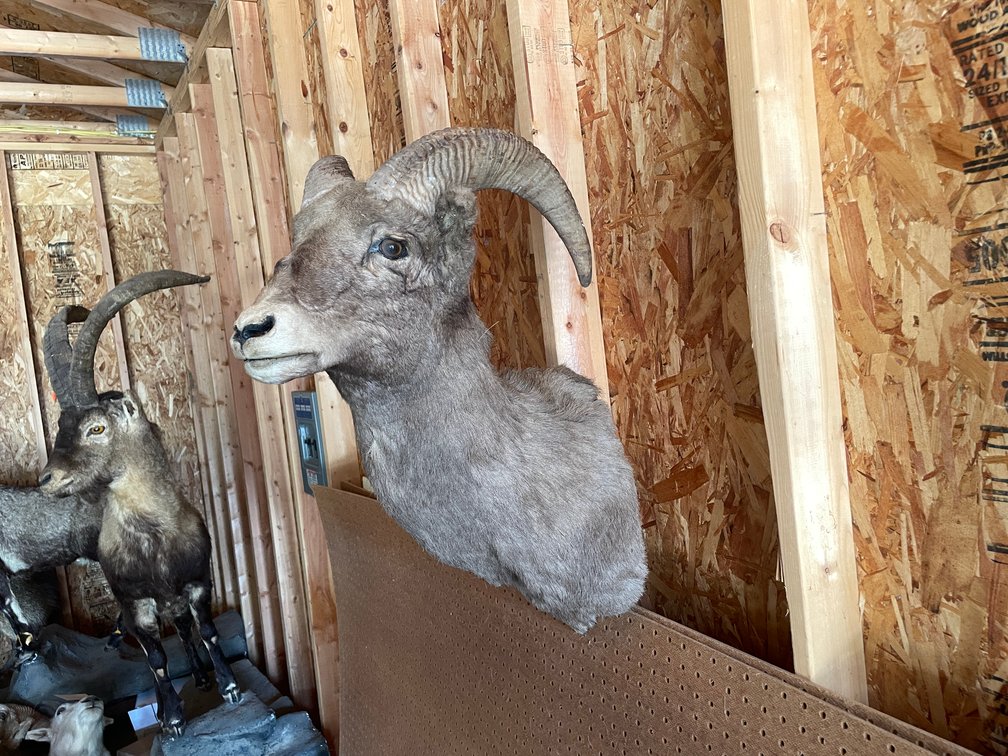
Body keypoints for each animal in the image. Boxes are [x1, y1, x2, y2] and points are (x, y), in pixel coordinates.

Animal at [39, 270, 240, 737]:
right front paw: (173, 719)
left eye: (96, 427)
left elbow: (208, 631)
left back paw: (203, 675)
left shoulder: (198, 581)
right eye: (60, 425)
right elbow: (157, 660)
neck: (153, 537)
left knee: (184, 629)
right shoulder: (136, 604)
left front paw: (229, 687)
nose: (47, 480)